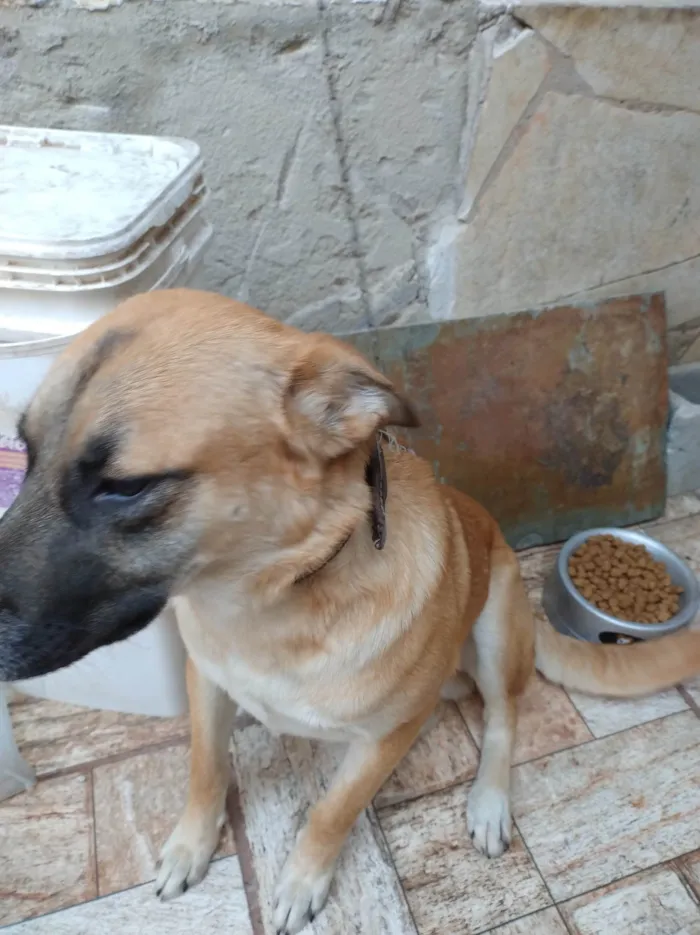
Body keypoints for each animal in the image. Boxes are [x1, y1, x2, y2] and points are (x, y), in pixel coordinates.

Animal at [5, 288, 700, 932]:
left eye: (126, 487)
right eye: (26, 451)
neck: (271, 600)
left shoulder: (385, 736)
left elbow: (330, 811)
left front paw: (301, 881)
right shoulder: (206, 681)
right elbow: (204, 767)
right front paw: (190, 845)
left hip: (497, 624)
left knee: (504, 717)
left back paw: (489, 801)